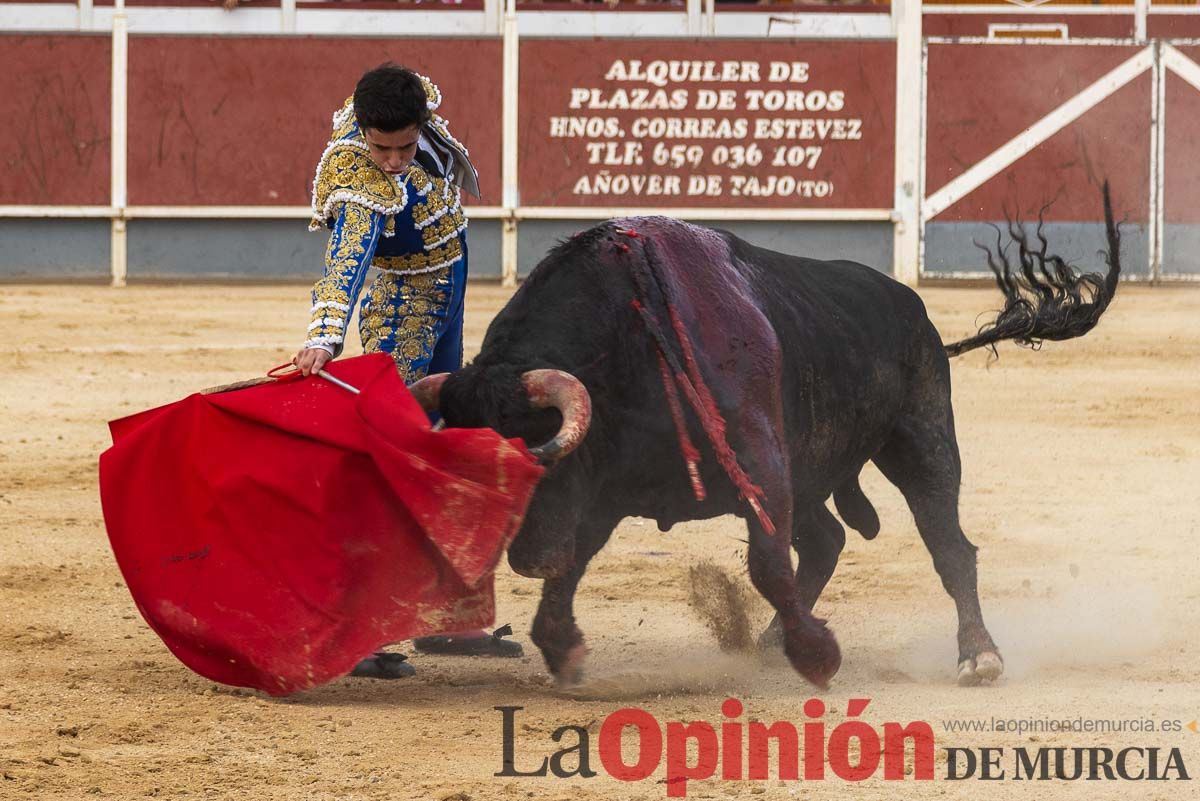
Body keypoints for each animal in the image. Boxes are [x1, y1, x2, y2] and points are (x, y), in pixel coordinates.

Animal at [408, 188, 1118, 690]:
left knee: (949, 547)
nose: (521, 557)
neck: (627, 340)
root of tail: (914, 310)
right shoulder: (605, 490)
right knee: (828, 539)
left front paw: (819, 656)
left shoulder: (759, 463)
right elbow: (576, 563)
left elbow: (766, 564)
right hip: (815, 472)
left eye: (534, 457)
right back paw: (779, 637)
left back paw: (978, 656)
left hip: (921, 442)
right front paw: (564, 650)